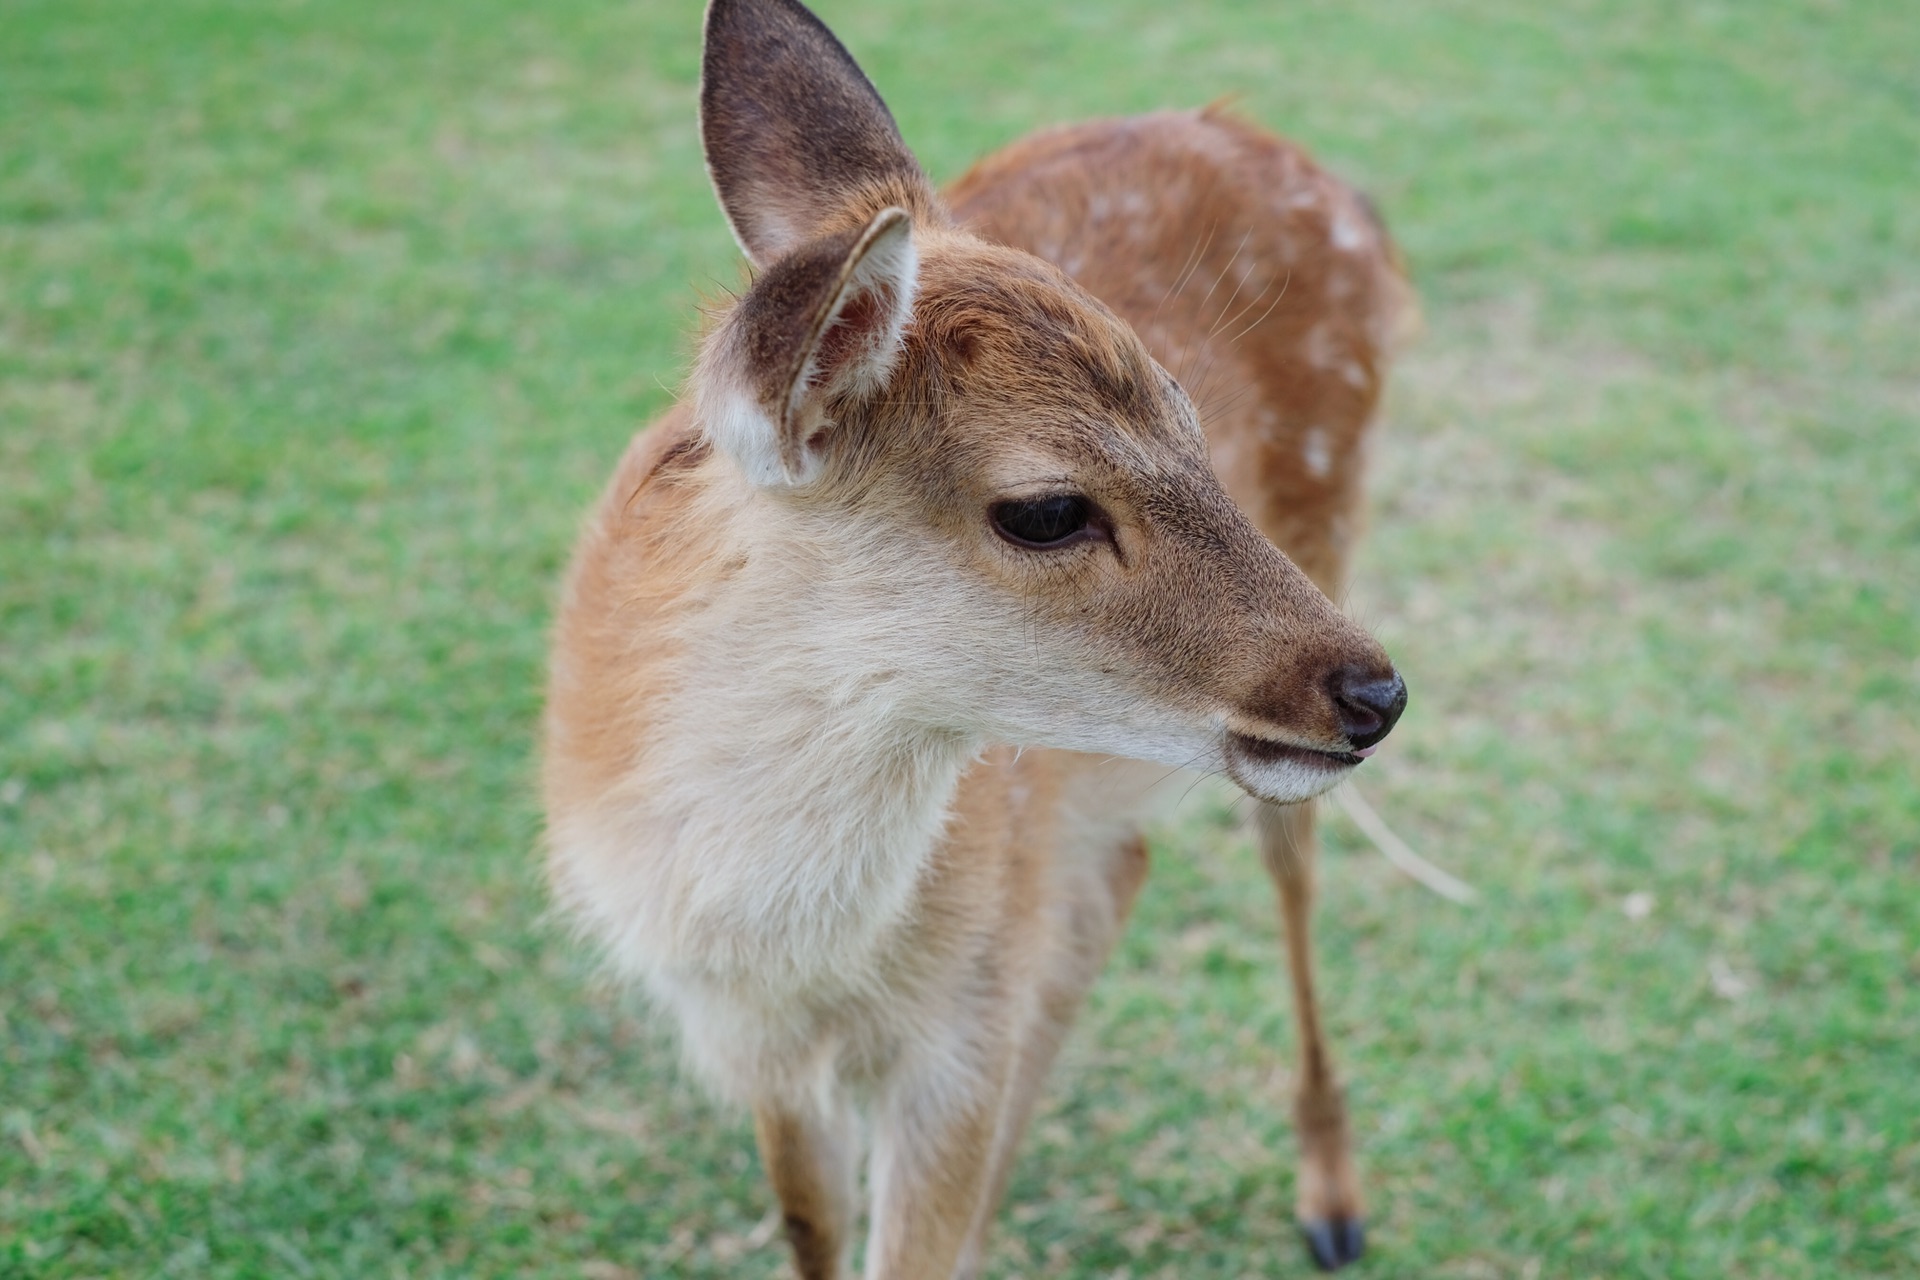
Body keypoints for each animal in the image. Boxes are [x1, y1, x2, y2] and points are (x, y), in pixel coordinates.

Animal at [541, 0, 1413, 1274]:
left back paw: (1334, 1201)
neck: (792, 946)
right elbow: (813, 1234)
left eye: (1193, 426)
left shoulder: (962, 1018)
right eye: (1046, 508)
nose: (1377, 695)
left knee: (1285, 862)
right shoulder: (752, 1043)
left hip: (1329, 510)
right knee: (1125, 865)